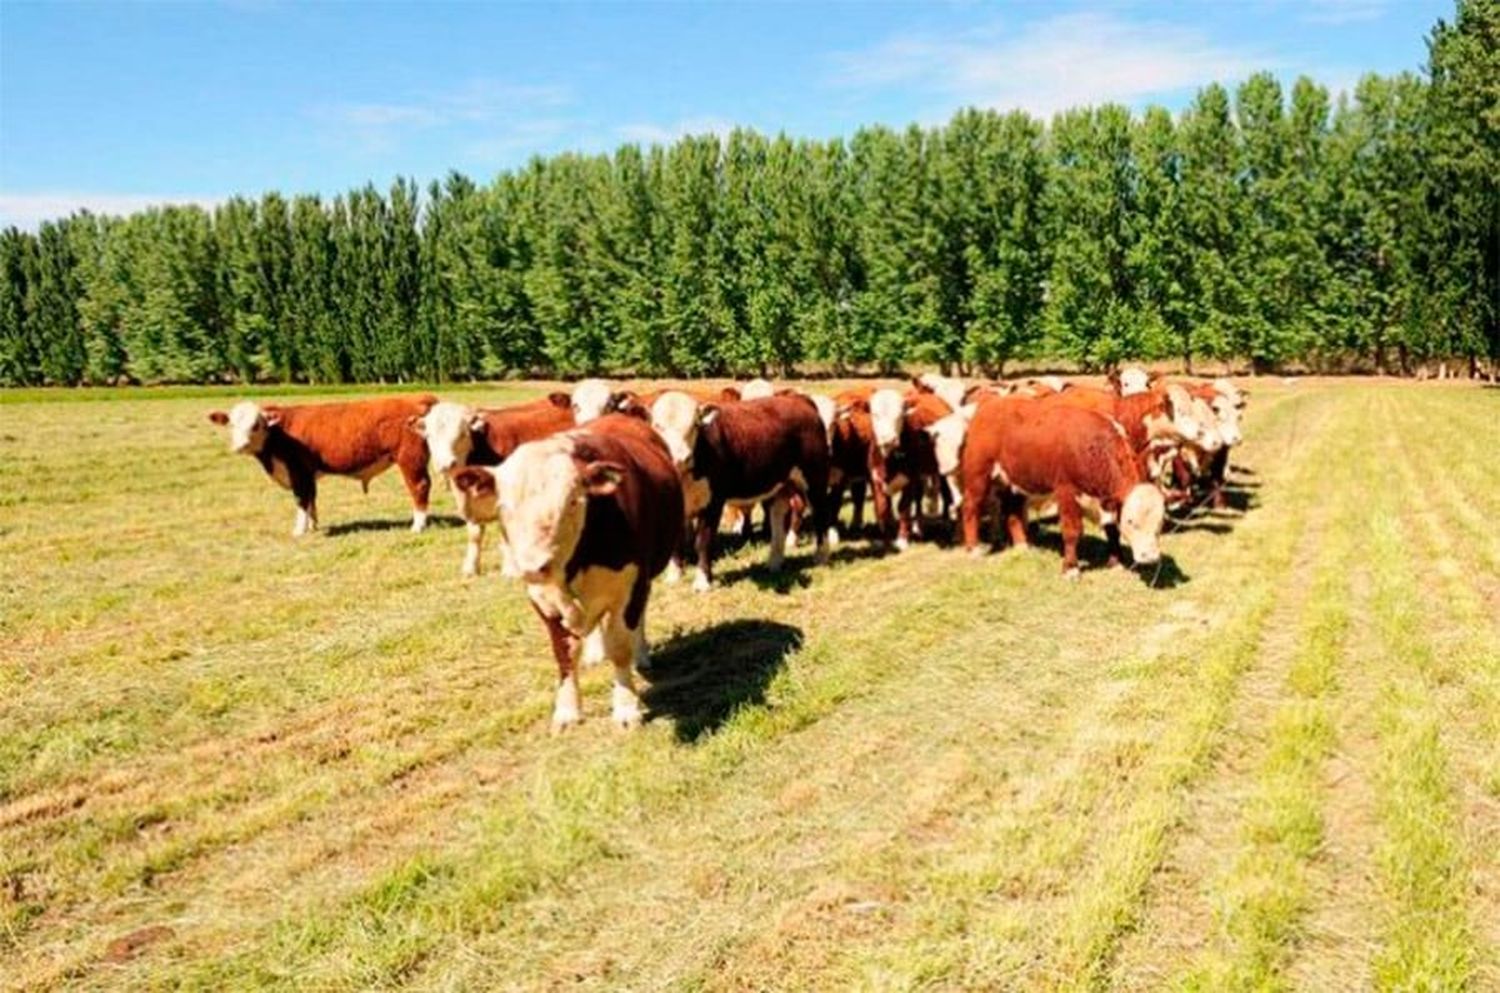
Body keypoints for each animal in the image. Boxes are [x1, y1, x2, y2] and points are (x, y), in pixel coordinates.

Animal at [208, 396, 438, 537]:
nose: (240, 446)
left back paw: (417, 526)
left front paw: (299, 530)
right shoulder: (308, 474)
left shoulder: (298, 471)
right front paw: (313, 526)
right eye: (231, 424)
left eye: (256, 424)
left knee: (419, 487)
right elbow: (311, 499)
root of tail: (416, 398)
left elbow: (301, 500)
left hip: (410, 459)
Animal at [414, 396, 576, 579]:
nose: (446, 464)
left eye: (462, 434)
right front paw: (470, 569)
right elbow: (474, 535)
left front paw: (510, 571)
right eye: (429, 435)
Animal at [444, 411, 681, 732]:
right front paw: (568, 710)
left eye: (572, 502)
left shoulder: (630, 586)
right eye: (504, 507)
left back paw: (640, 653)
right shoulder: (543, 599)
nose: (533, 566)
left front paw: (626, 707)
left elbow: (620, 647)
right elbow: (564, 653)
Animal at [960, 396, 1170, 579]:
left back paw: (1022, 546)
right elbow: (1071, 532)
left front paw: (1116, 563)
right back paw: (973, 549)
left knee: (1013, 510)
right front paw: (1071, 569)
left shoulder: (1107, 502)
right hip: (977, 475)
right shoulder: (1066, 492)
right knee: (971, 506)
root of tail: (990, 404)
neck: (1092, 446)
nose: (1150, 557)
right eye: (1130, 521)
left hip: (1013, 480)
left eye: (1160, 523)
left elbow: (1112, 530)